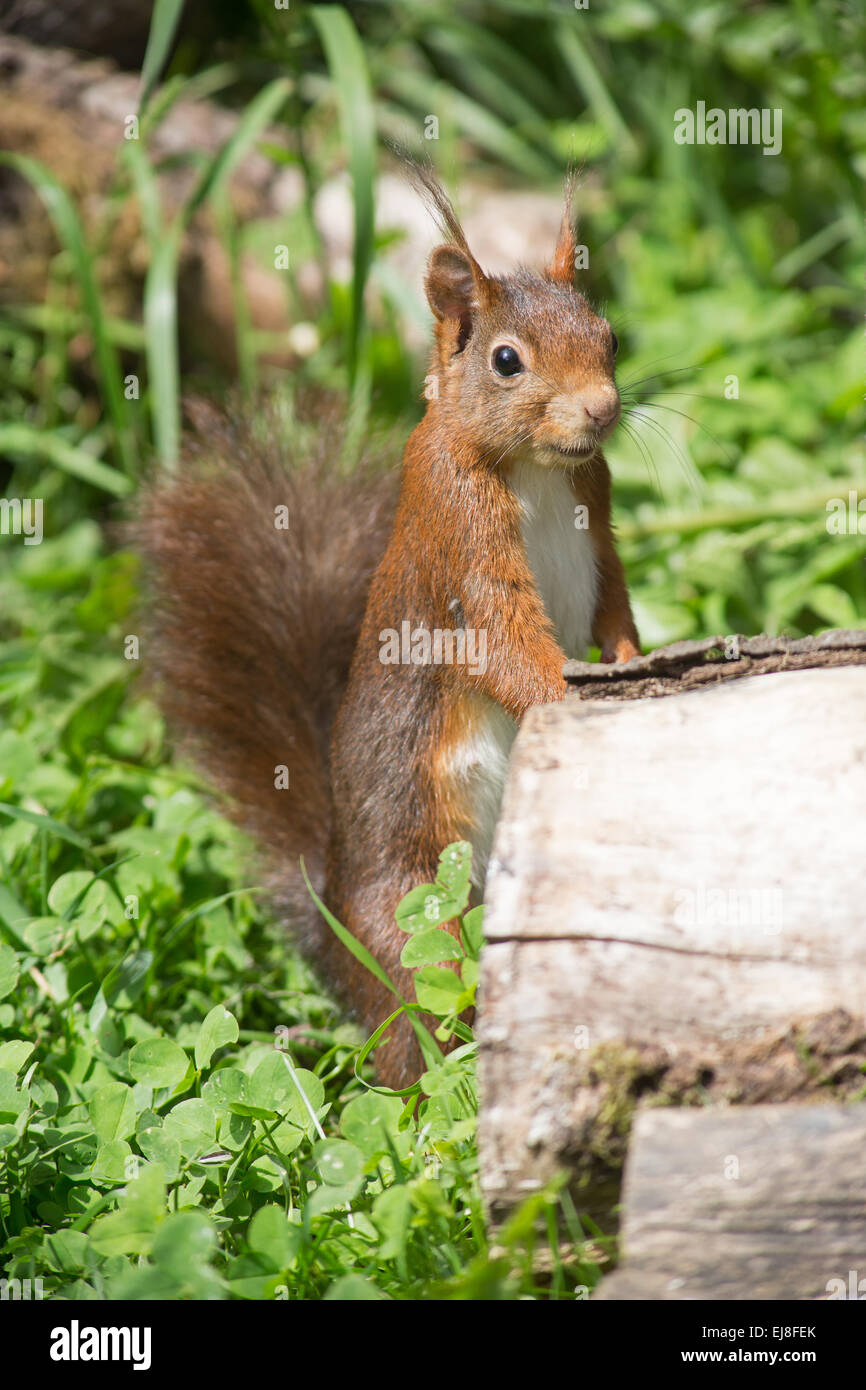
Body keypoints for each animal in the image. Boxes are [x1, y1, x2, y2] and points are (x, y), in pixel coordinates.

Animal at [140, 168, 636, 1089]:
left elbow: (615, 604)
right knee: (413, 1046)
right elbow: (505, 644)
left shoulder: (602, 519)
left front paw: (630, 660)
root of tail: (334, 919)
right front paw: (574, 697)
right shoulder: (463, 546)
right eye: (505, 360)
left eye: (609, 336)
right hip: (417, 918)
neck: (537, 471)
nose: (601, 410)